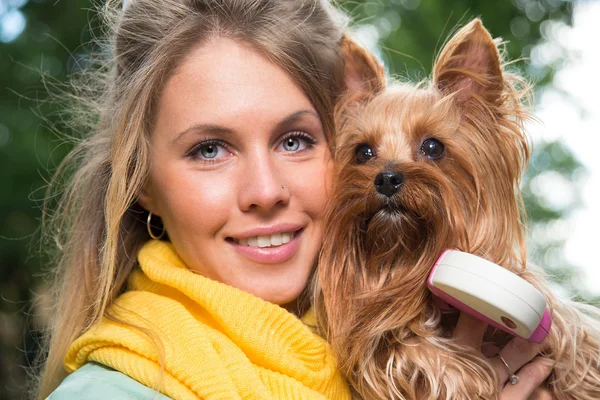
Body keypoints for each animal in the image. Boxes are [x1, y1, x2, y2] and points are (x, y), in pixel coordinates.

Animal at [316, 19, 596, 400]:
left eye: (433, 147)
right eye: (363, 152)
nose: (386, 178)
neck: (406, 256)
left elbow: (570, 328)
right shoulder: (374, 342)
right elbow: (399, 345)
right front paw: (466, 375)